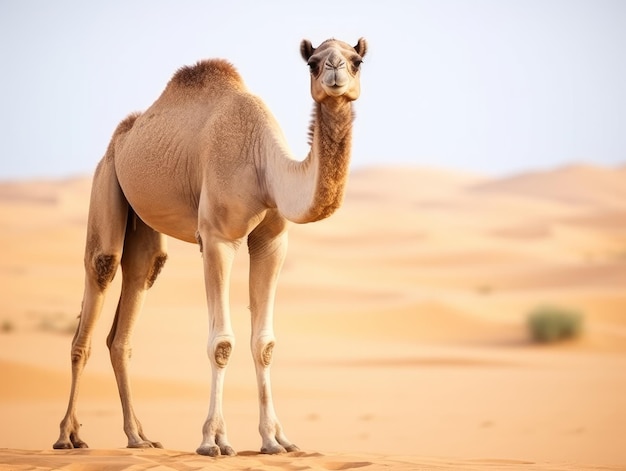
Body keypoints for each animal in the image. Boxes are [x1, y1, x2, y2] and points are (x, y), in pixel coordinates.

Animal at [52, 37, 366, 458]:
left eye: (357, 60)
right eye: (313, 63)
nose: (335, 72)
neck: (264, 165)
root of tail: (121, 137)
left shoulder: (272, 241)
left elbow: (264, 343)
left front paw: (276, 440)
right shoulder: (218, 237)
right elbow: (222, 343)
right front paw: (213, 440)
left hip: (142, 220)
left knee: (136, 288)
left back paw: (139, 437)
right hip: (106, 180)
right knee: (99, 274)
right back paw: (68, 436)